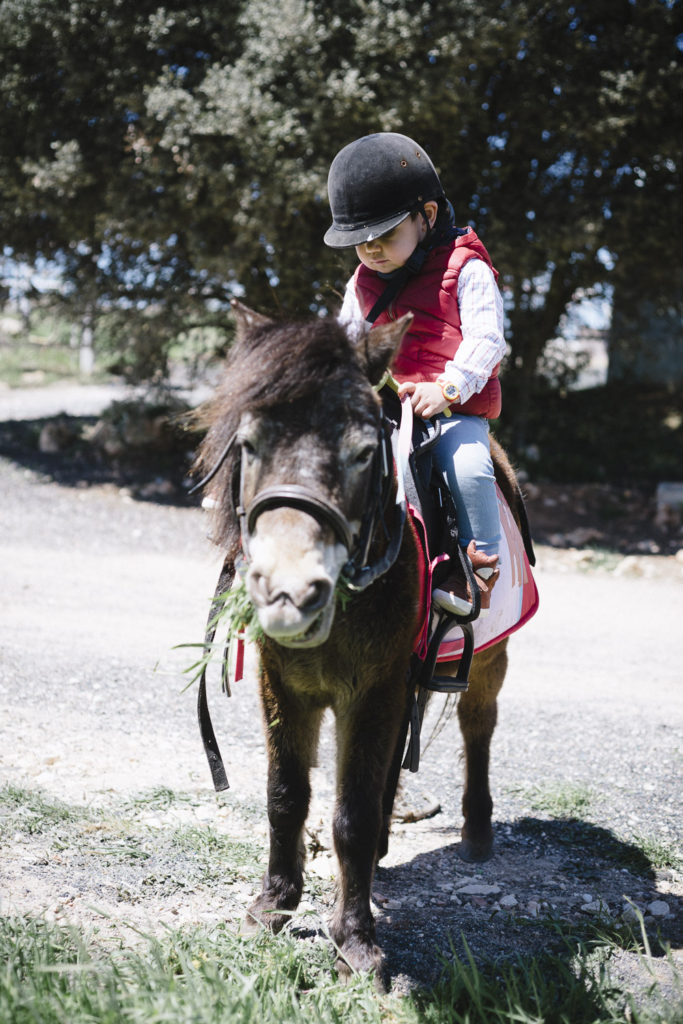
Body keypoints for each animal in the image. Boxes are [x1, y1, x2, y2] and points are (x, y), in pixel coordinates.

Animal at [197, 301, 524, 983]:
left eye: (362, 452)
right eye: (250, 444)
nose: (290, 592)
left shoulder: (371, 690)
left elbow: (351, 813)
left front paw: (356, 940)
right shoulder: (284, 686)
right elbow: (287, 796)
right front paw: (273, 905)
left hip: (488, 659)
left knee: (476, 727)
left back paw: (476, 832)